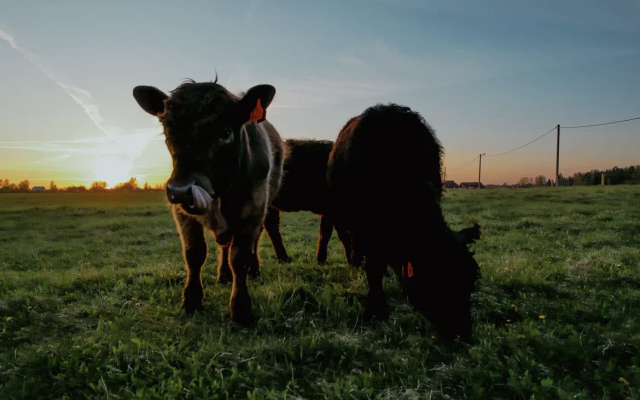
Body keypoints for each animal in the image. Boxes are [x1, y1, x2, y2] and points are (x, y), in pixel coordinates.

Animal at [131, 78, 284, 328]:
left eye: (225, 132)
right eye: (167, 130)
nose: (181, 191)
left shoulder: (255, 208)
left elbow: (240, 257)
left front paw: (241, 310)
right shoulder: (182, 213)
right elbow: (195, 254)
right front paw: (191, 300)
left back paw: (253, 270)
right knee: (224, 247)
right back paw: (223, 275)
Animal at [330, 104, 480, 340]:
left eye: (470, 282)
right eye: (437, 281)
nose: (462, 332)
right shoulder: (364, 227)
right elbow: (373, 267)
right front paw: (376, 308)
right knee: (348, 241)